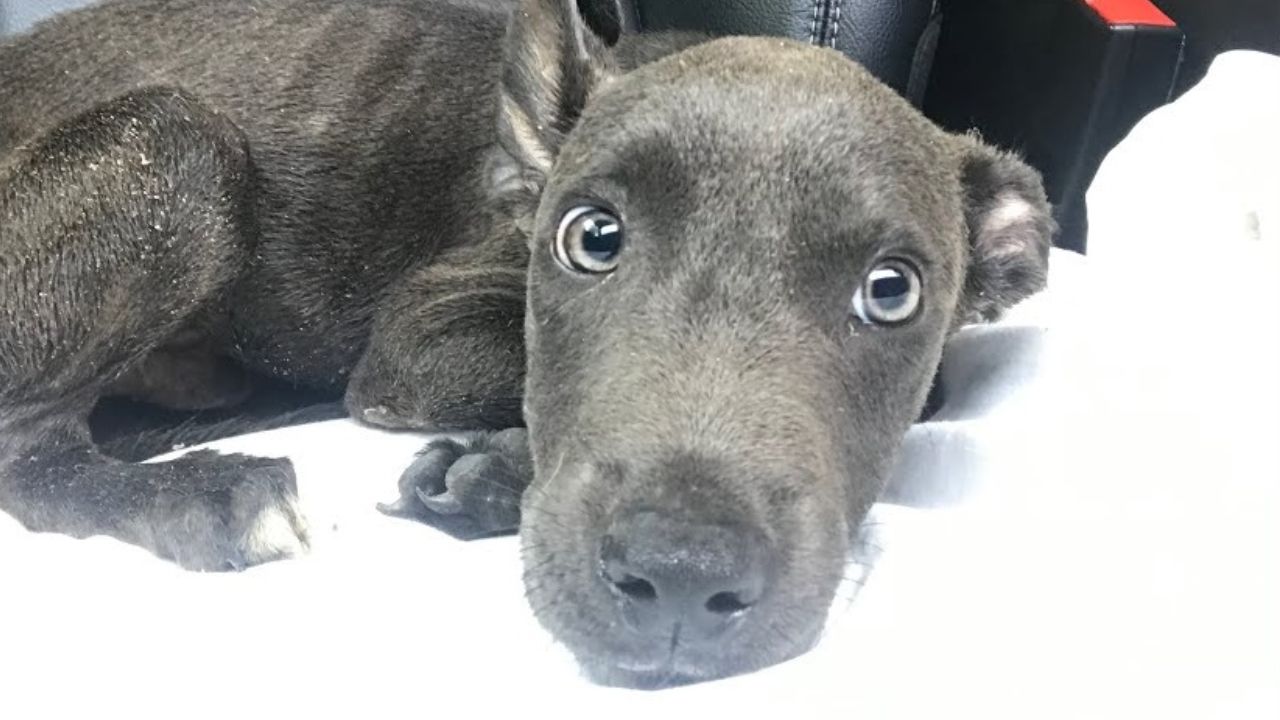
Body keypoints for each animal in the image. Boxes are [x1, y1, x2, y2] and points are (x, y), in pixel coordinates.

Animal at [2, 0, 1049, 686]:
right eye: (590, 238)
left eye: (892, 291)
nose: (683, 572)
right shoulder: (420, 336)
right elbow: (521, 370)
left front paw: (493, 475)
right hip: (174, 143)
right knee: (27, 451)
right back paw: (197, 494)